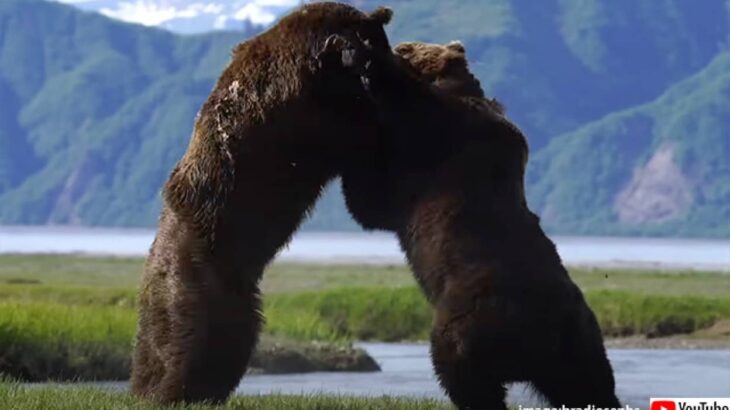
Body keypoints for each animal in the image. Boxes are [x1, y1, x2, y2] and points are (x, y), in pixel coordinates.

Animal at [131, 3, 392, 406]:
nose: (376, 71)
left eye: (383, 46)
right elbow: (346, 128)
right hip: (195, 277)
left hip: (237, 302)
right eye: (369, 53)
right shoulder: (298, 110)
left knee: (228, 344)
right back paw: (164, 391)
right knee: (183, 340)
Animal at [338, 42, 616, 410]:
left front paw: (362, 60)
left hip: (470, 318)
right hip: (580, 342)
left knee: (459, 372)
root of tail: (541, 336)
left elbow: (371, 202)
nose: (400, 45)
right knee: (592, 387)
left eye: (407, 47)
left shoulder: (431, 150)